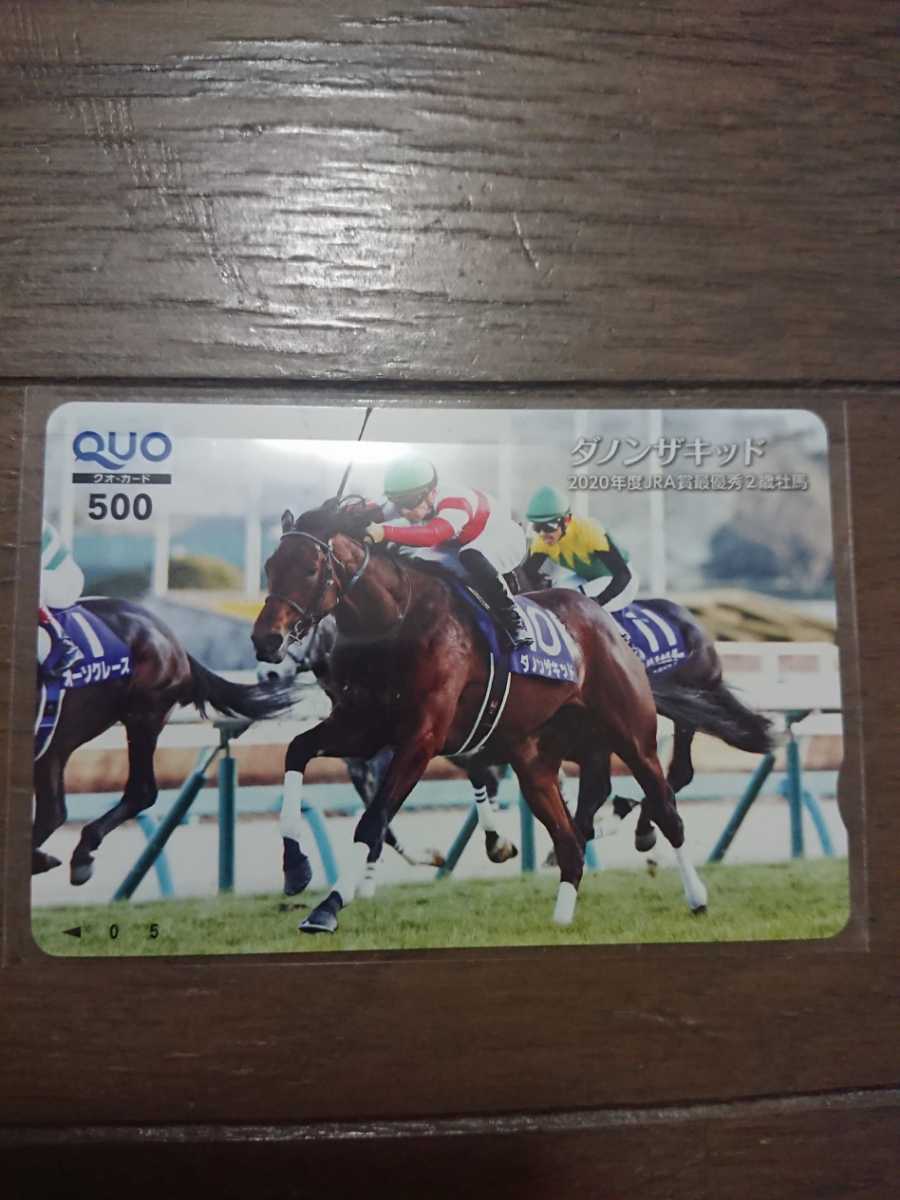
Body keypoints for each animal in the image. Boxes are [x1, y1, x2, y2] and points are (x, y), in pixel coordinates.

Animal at [33, 597, 295, 885]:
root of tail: (173, 641)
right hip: (59, 742)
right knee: (55, 810)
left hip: (141, 717)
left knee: (138, 792)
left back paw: (78, 855)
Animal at [252, 504, 713, 935]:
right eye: (270, 567)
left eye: (310, 569)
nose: (265, 640)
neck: (395, 620)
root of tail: (601, 617)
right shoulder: (365, 728)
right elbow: (298, 750)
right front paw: (295, 868)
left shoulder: (422, 737)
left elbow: (374, 821)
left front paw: (327, 908)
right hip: (535, 760)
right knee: (569, 840)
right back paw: (562, 917)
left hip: (632, 735)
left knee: (665, 806)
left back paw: (696, 896)